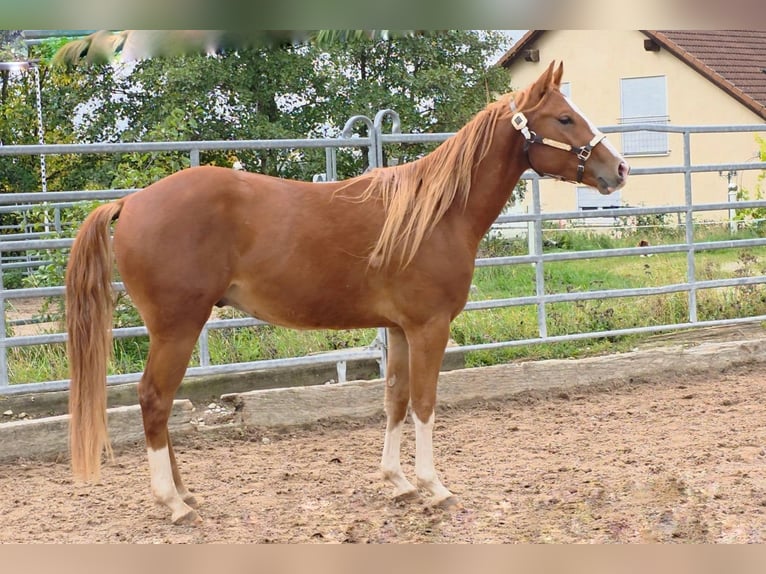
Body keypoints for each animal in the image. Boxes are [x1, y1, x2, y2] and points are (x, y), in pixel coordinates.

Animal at [65, 61, 629, 525]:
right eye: (563, 118)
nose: (619, 169)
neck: (437, 214)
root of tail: (133, 202)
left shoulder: (400, 330)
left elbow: (395, 399)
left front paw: (398, 482)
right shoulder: (429, 328)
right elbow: (425, 401)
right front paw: (434, 487)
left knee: (160, 404)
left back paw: (185, 493)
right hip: (177, 328)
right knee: (154, 400)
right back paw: (174, 503)